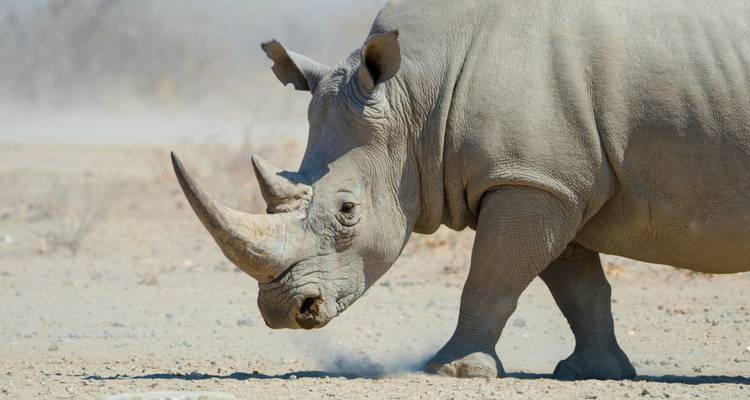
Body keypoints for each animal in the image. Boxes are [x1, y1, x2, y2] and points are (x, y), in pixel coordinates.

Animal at [171, 0, 750, 380]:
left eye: (348, 210)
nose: (285, 312)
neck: (414, 93)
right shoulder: (554, 178)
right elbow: (577, 284)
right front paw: (594, 372)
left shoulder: (529, 179)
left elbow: (492, 275)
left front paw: (453, 370)